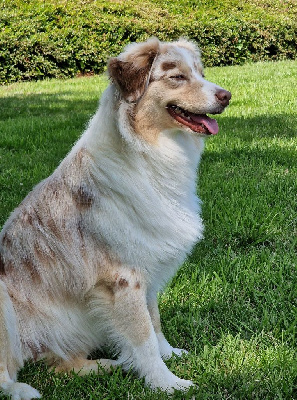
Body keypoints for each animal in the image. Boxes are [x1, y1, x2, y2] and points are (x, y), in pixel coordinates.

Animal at [0, 36, 231, 396]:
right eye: (177, 77)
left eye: (200, 73)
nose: (227, 96)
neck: (148, 155)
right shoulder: (123, 278)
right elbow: (143, 337)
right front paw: (167, 383)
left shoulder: (147, 265)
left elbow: (154, 321)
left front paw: (169, 354)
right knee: (7, 373)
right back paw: (23, 391)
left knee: (58, 367)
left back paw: (106, 366)